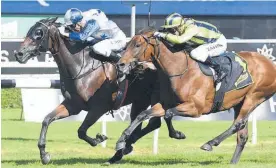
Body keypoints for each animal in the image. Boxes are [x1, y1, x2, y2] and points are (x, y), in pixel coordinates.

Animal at [13, 18, 185, 164]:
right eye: (30, 31)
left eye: (38, 33)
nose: (19, 54)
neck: (81, 67)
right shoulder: (72, 105)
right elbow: (47, 120)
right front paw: (44, 155)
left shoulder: (99, 108)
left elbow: (81, 130)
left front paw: (99, 138)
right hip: (140, 100)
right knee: (149, 122)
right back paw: (123, 149)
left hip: (154, 97)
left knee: (156, 120)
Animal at [113, 28, 274, 163]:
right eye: (127, 44)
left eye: (137, 45)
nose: (120, 64)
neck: (180, 71)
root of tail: (271, 64)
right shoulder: (165, 103)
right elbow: (143, 115)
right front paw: (121, 141)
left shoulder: (196, 108)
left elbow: (168, 114)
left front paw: (178, 134)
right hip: (239, 103)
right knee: (242, 135)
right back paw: (232, 162)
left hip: (253, 97)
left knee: (238, 124)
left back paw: (210, 143)